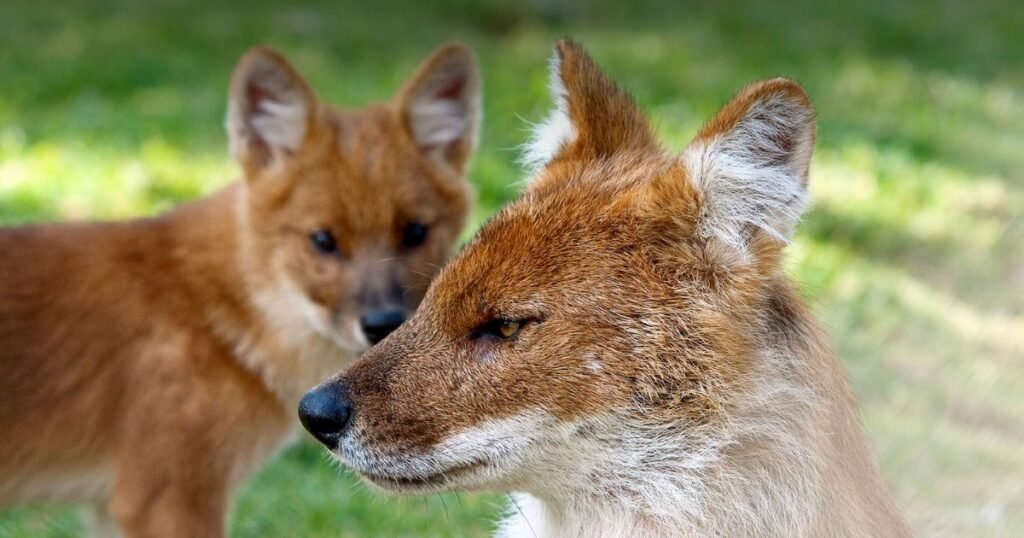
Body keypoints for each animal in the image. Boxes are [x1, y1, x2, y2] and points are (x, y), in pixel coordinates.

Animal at [0, 43, 478, 536]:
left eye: (415, 232)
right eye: (323, 239)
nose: (384, 323)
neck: (204, 306)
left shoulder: (117, 509)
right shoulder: (169, 500)